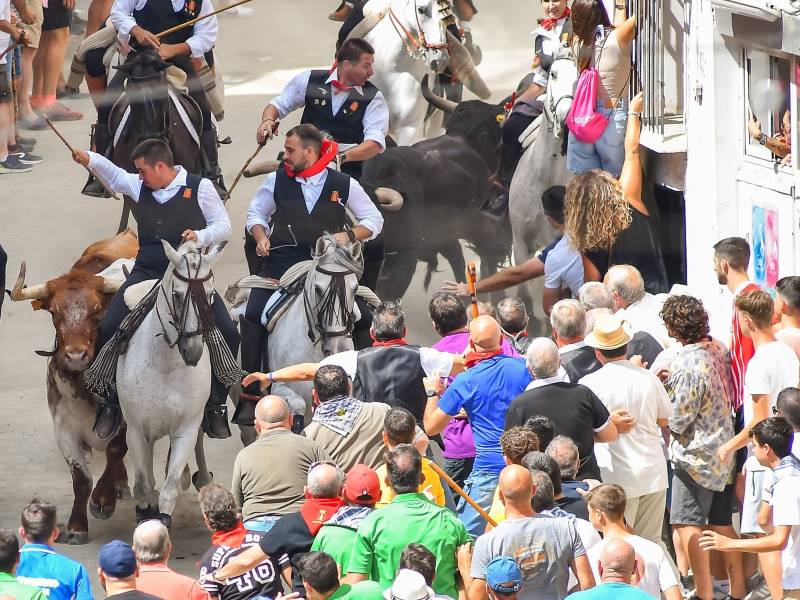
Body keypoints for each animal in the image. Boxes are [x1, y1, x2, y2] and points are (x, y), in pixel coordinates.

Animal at [12, 229, 139, 544]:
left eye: (97, 310)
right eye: (54, 313)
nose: (75, 355)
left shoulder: (126, 421)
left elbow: (116, 451)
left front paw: (102, 500)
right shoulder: (64, 429)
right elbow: (81, 479)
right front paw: (77, 526)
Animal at [115, 239, 223, 524]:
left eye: (210, 296)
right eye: (177, 295)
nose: (193, 351)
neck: (166, 366)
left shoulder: (186, 429)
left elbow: (169, 488)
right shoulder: (136, 431)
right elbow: (143, 485)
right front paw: (145, 515)